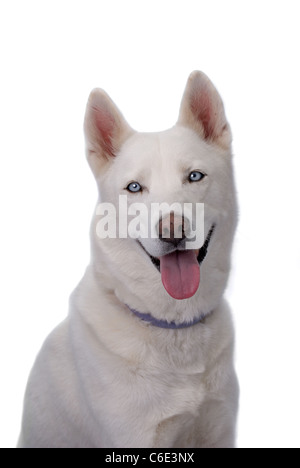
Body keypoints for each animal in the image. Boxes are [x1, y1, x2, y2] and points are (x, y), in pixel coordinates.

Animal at [18, 71, 239, 448]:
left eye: (194, 176)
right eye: (134, 187)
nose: (172, 230)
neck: (173, 329)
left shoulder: (220, 431)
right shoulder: (134, 438)